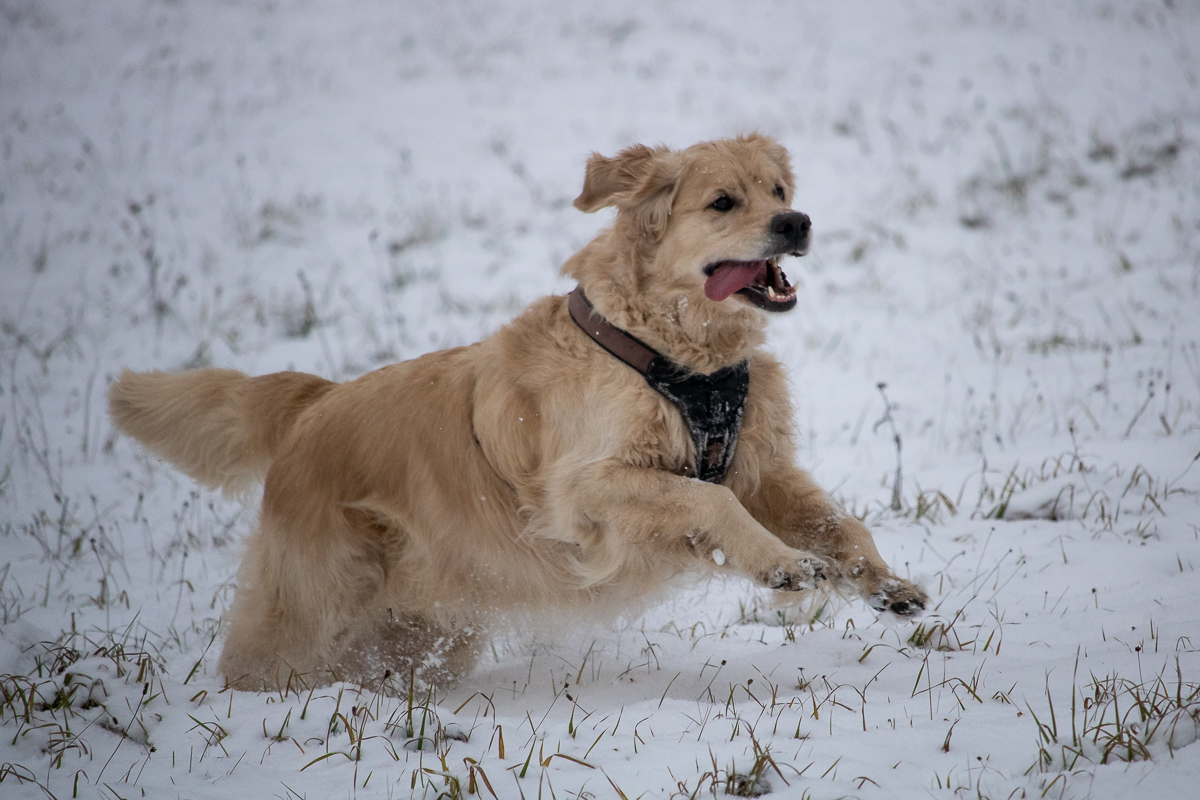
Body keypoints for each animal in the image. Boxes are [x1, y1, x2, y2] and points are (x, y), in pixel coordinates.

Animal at [110, 134, 926, 690]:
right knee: (263, 662)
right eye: (723, 202)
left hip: (425, 626)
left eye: (779, 188)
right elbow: (710, 505)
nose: (797, 221)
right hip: (312, 609)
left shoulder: (759, 469)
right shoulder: (588, 489)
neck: (676, 356)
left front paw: (884, 583)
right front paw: (783, 566)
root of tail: (316, 403)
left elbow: (841, 523)